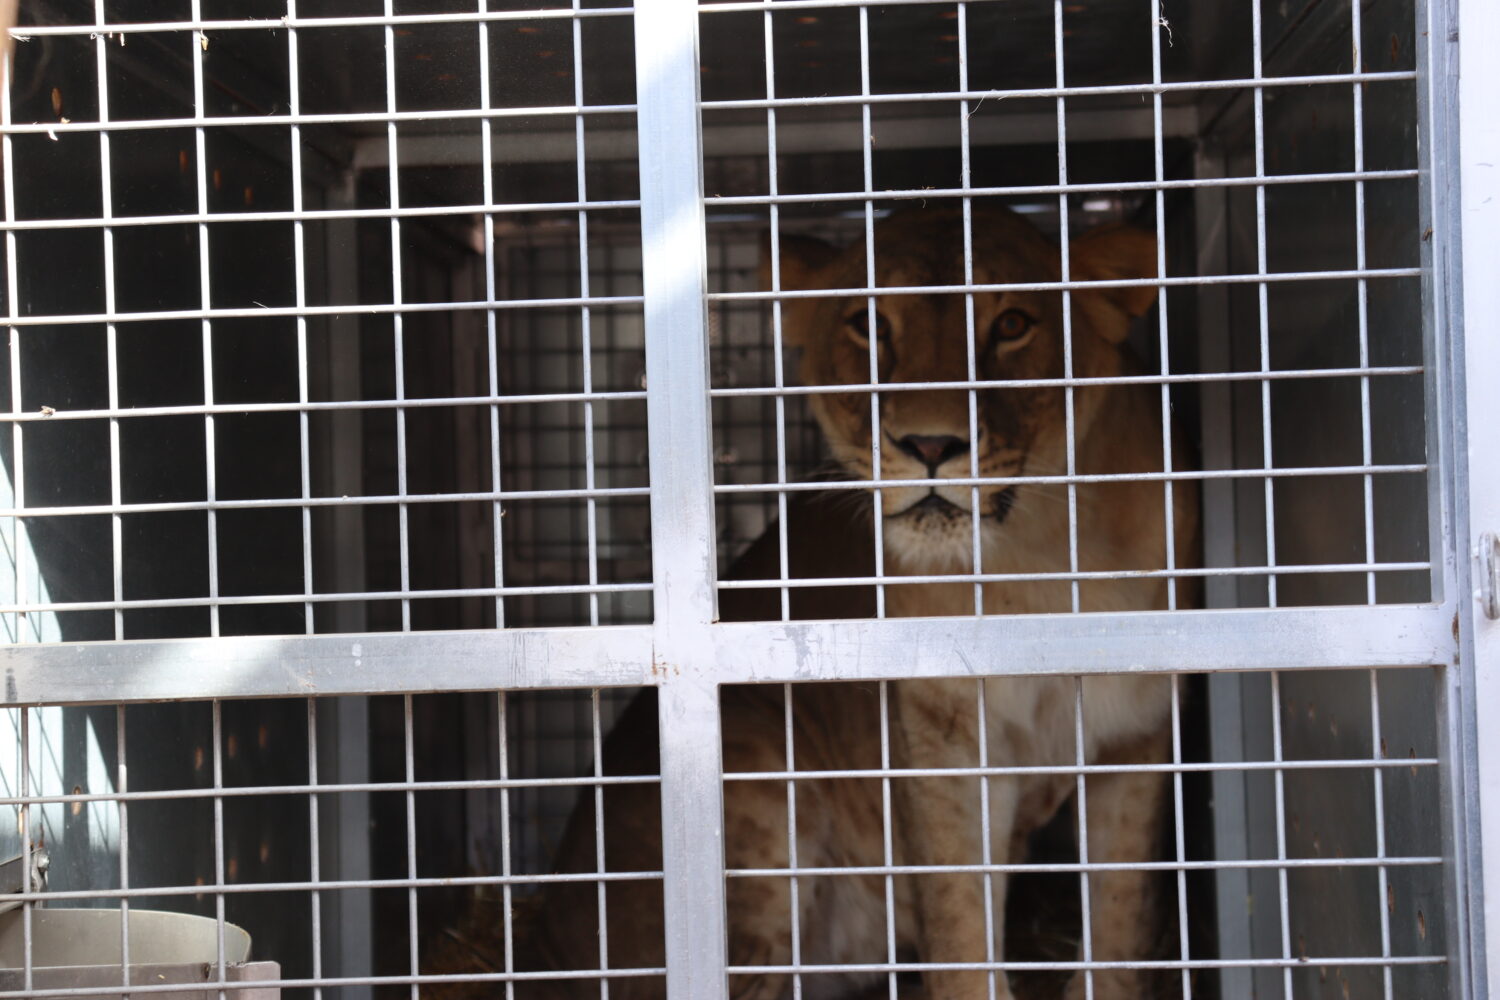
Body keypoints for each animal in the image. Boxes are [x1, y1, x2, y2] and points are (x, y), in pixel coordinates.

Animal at [426, 204, 1199, 1000]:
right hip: (759, 768)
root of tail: (545, 939)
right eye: (870, 324)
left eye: (1012, 324)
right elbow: (959, 920)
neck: (1032, 557)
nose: (930, 444)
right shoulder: (943, 735)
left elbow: (1119, 917)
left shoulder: (1138, 729)